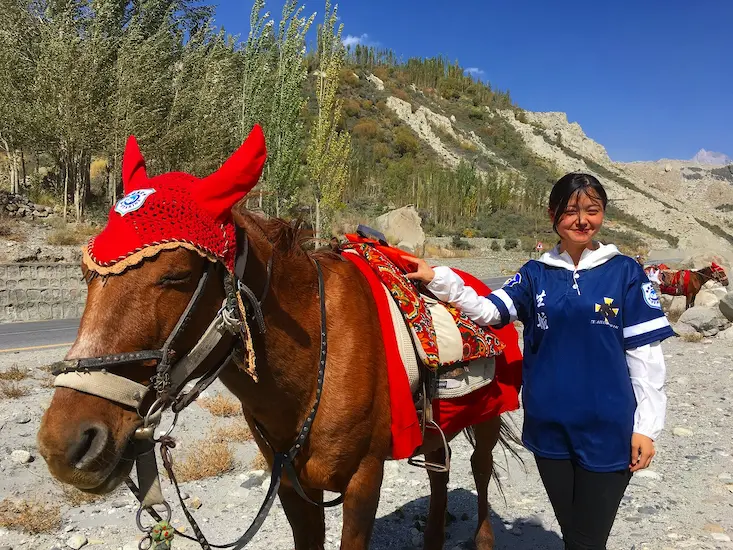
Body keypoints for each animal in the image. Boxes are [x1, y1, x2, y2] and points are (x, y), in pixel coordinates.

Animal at [34, 210, 516, 548]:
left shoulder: (364, 480)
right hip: (437, 426)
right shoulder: (289, 486)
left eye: (177, 275)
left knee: (479, 469)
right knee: (439, 471)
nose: (65, 445)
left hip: (489, 418)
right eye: (86, 276)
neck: (321, 349)